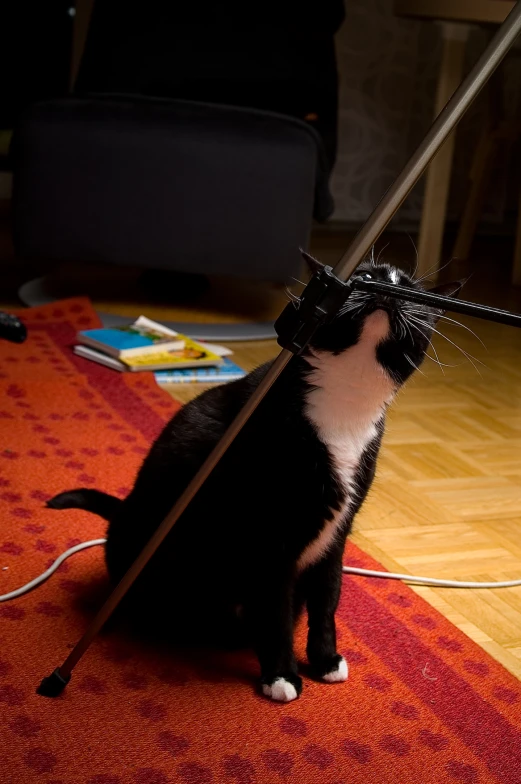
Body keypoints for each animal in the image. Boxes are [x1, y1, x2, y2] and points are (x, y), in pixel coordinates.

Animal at [45, 258, 460, 704]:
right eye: (364, 274)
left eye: (407, 287)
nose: (381, 285)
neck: (345, 403)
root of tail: (123, 509)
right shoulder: (269, 539)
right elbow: (276, 612)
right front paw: (281, 675)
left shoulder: (337, 531)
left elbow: (327, 599)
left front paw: (325, 659)